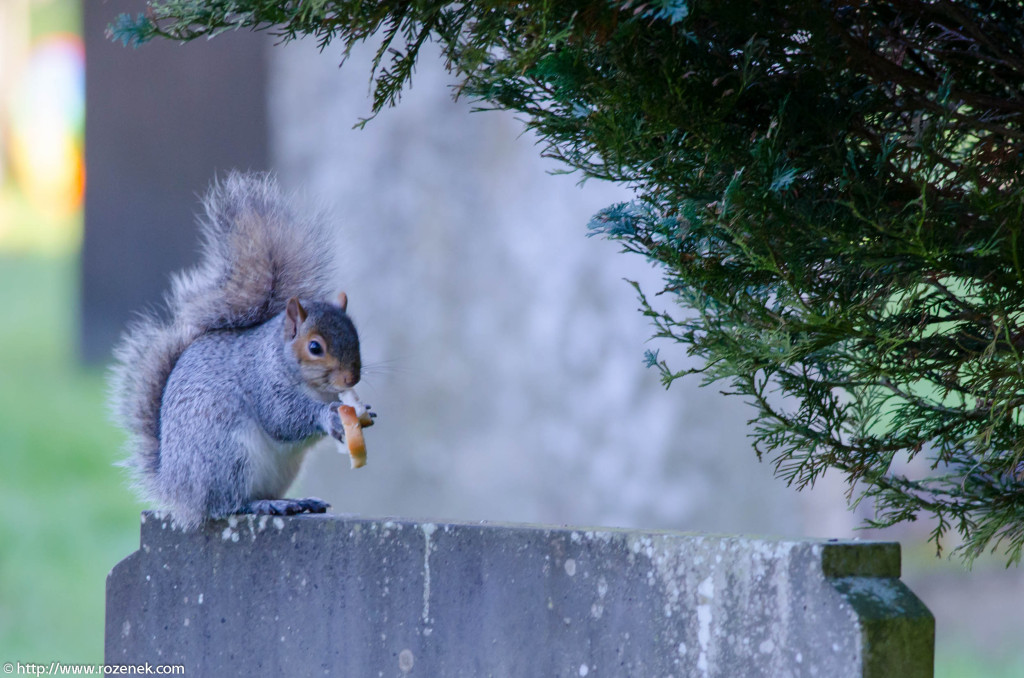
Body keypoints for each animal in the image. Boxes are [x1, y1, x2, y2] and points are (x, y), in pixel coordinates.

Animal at [110, 171, 372, 532]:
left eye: (355, 335)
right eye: (315, 347)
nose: (351, 378)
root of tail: (177, 488)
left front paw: (363, 412)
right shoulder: (262, 382)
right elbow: (282, 417)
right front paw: (329, 415)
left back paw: (298, 501)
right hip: (227, 455)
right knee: (228, 504)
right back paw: (265, 504)